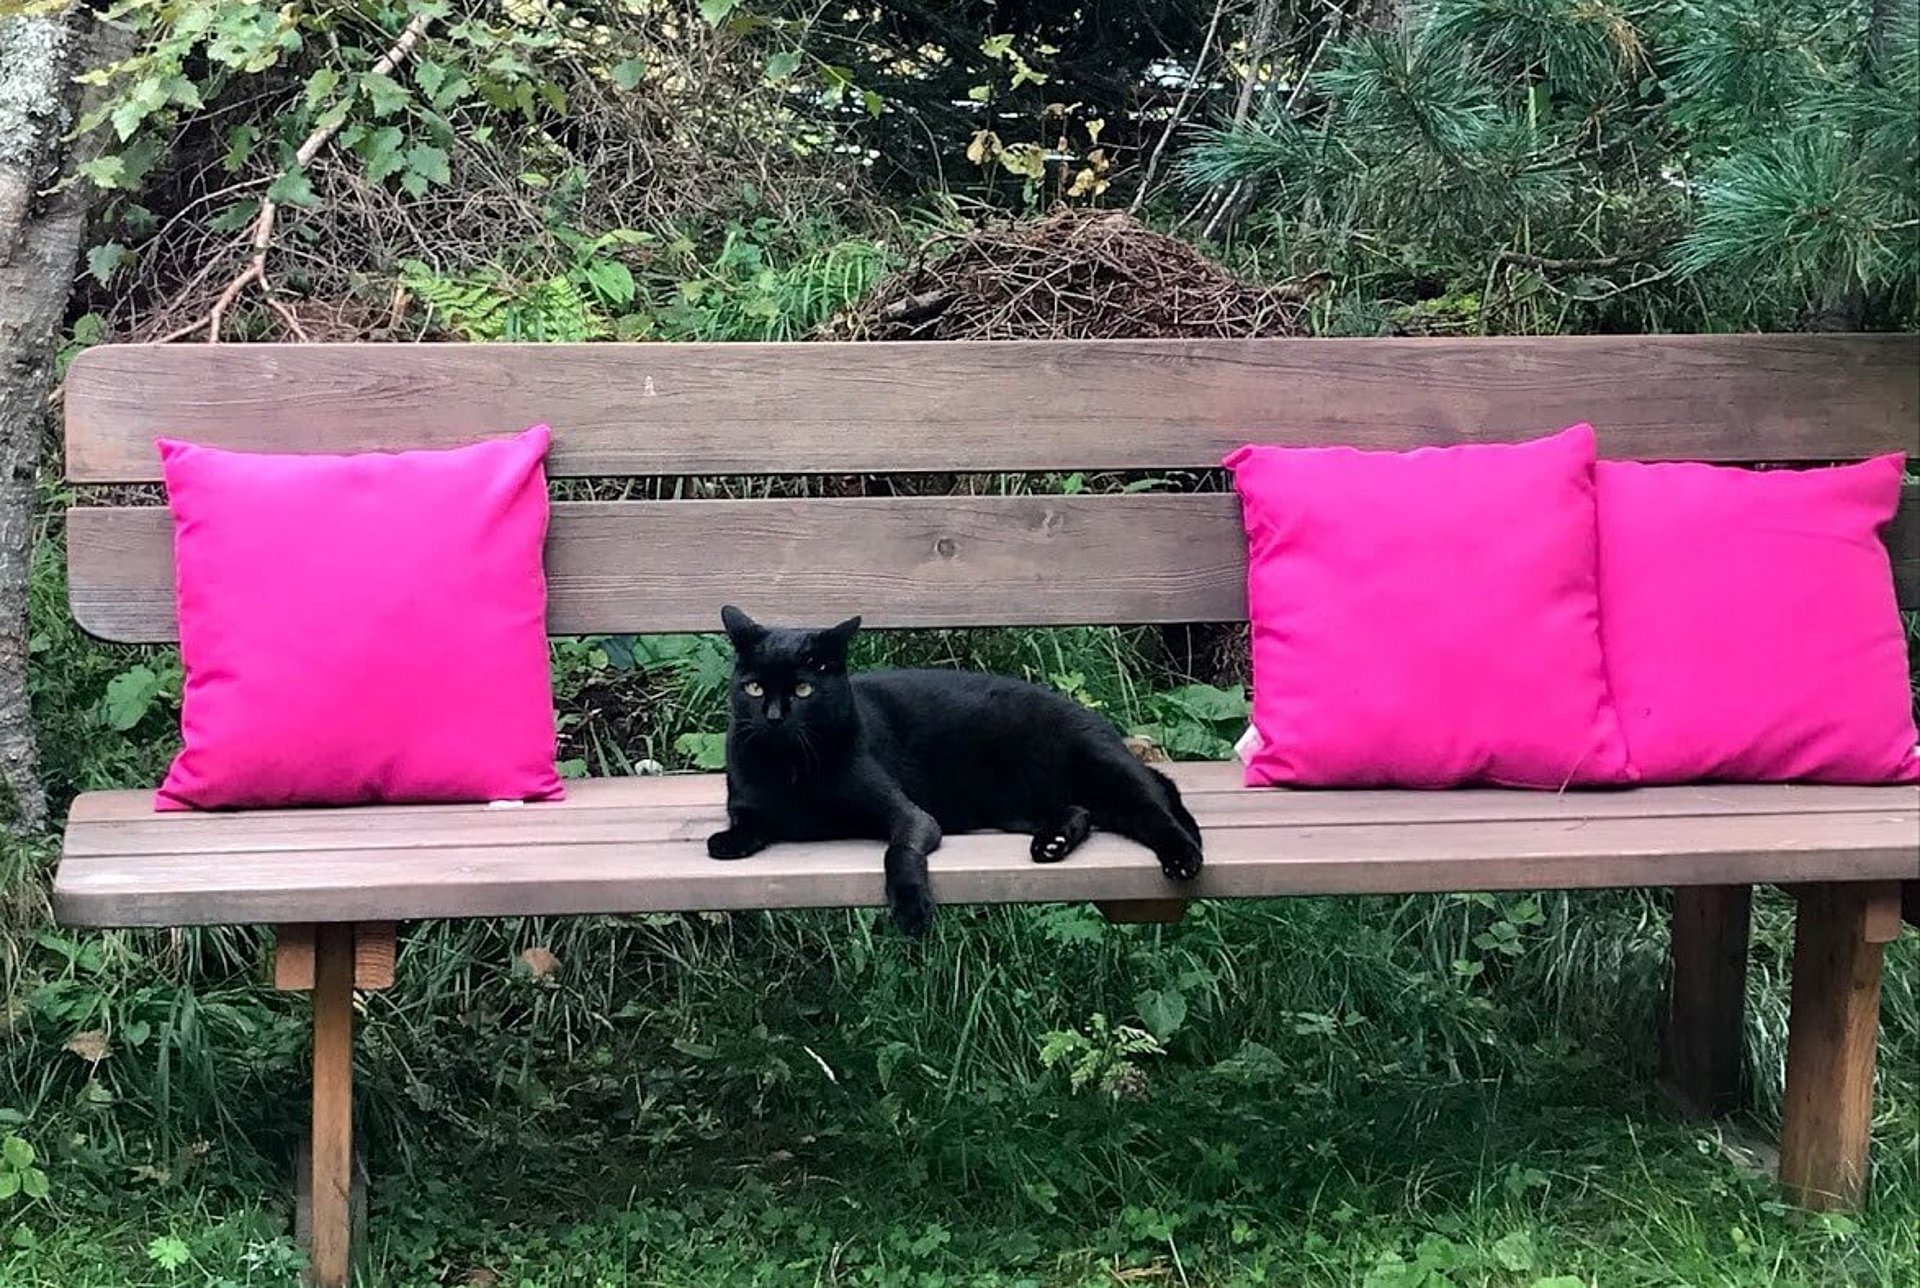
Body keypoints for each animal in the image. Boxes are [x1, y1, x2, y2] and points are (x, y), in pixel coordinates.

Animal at [705, 606, 1205, 936]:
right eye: (754, 688)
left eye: (804, 690)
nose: (772, 716)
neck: (792, 769)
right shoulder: (746, 802)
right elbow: (746, 823)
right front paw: (727, 842)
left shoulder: (911, 816)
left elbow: (898, 852)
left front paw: (911, 908)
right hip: (1018, 804)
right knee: (1083, 810)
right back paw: (1053, 843)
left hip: (1098, 770)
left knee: (1152, 805)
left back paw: (1184, 856)